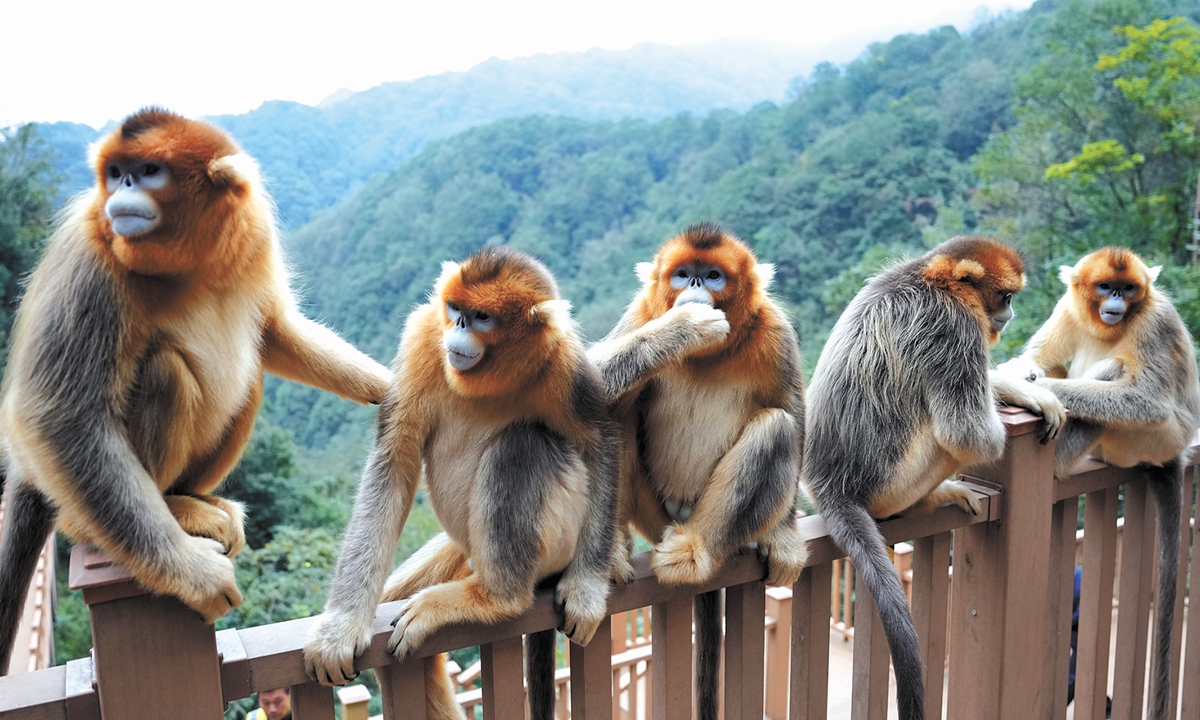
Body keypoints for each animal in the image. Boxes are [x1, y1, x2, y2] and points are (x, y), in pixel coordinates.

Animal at [0, 108, 393, 675]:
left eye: (147, 172)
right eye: (116, 173)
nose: (122, 191)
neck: (187, 262)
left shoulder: (253, 232)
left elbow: (275, 330)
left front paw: (390, 386)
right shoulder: (90, 255)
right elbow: (59, 416)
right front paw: (195, 576)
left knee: (250, 370)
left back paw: (194, 497)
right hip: (80, 500)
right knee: (166, 372)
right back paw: (170, 510)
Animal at [303, 246, 617, 720]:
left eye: (482, 316)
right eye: (455, 310)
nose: (460, 328)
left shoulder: (564, 362)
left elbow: (601, 446)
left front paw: (588, 588)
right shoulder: (423, 336)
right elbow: (394, 462)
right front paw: (342, 625)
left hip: (560, 537)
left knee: (523, 444)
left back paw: (494, 599)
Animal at [586, 223, 808, 720]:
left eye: (713, 276)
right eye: (683, 273)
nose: (693, 287)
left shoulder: (775, 331)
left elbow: (793, 414)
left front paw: (783, 533)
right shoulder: (641, 314)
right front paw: (683, 328)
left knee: (776, 425)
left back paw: (697, 550)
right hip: (653, 513)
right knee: (616, 409)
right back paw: (611, 549)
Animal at [802, 236, 1067, 720]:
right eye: (1006, 297)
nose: (1011, 316)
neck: (930, 278)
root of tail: (830, 486)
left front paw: (1023, 387)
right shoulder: (954, 326)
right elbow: (971, 435)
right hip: (893, 485)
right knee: (948, 436)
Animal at [997, 247, 1200, 720]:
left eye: (1127, 289)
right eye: (1106, 287)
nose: (1117, 302)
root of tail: (1176, 451)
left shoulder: (1154, 320)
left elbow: (1146, 400)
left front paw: (1019, 386)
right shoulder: (1068, 308)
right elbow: (1043, 358)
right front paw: (1021, 374)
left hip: (1154, 438)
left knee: (1116, 374)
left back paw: (1056, 461)